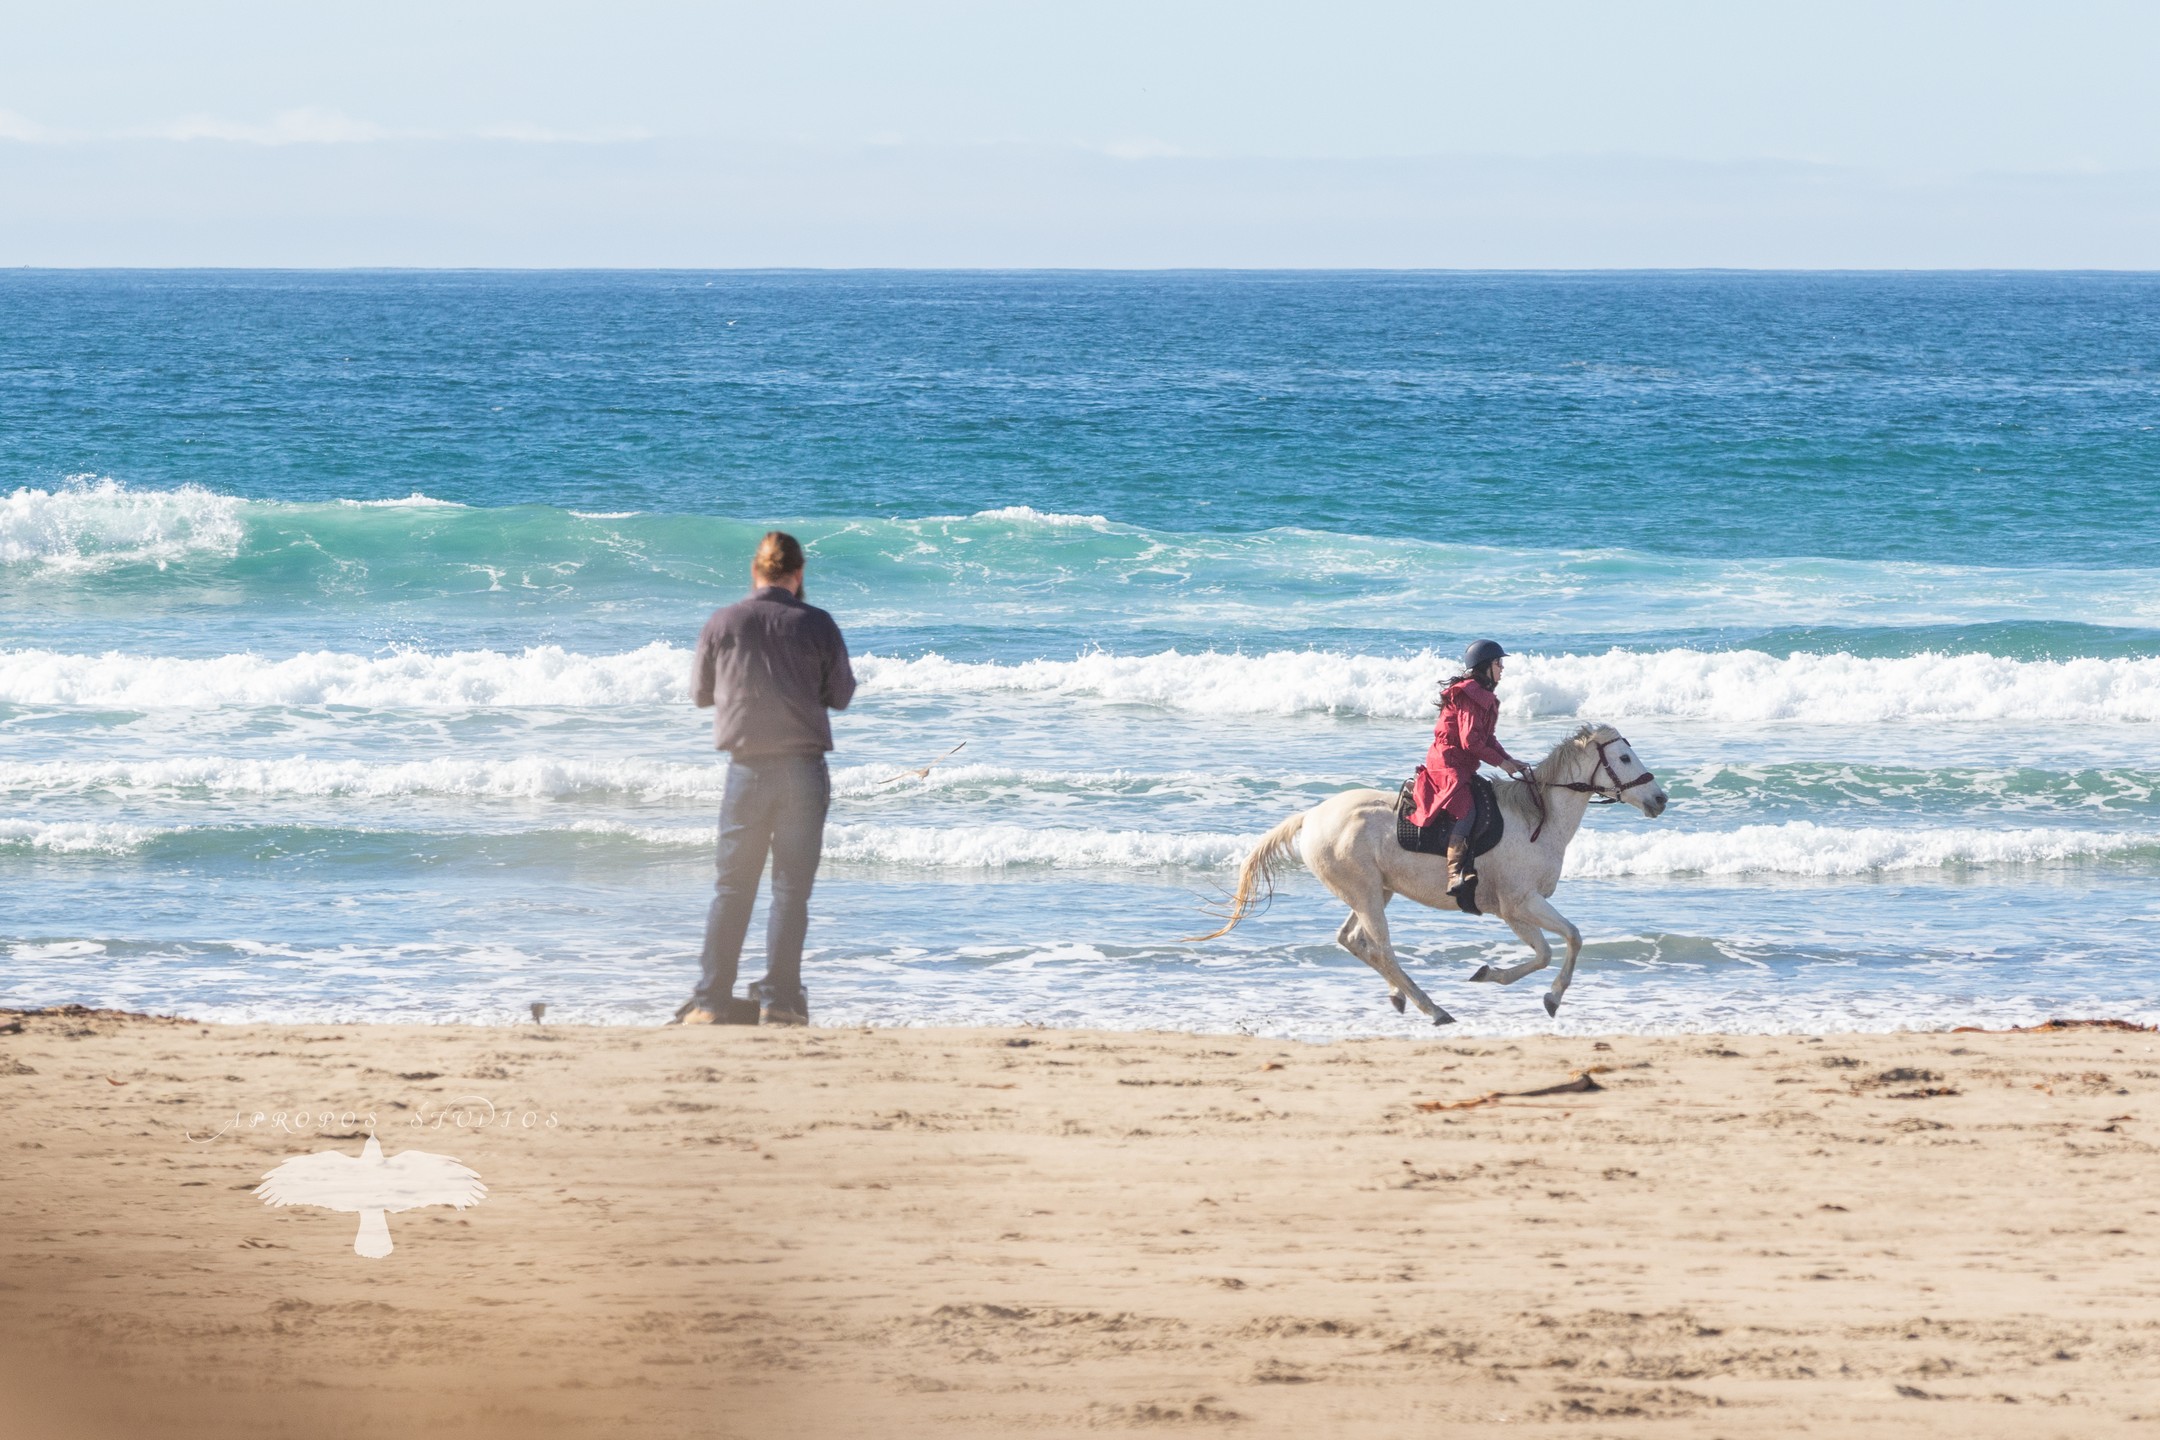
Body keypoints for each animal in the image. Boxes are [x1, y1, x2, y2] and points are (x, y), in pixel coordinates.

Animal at [1191, 723, 1668, 1023]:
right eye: (1624, 756)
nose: (1660, 799)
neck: (1537, 819)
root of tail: (1310, 817)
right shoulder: (1519, 904)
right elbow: (1568, 940)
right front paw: (1549, 997)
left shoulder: (1515, 911)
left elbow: (1547, 951)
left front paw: (1491, 975)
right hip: (1367, 894)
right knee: (1382, 949)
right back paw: (1433, 1010)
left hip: (1373, 892)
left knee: (1351, 940)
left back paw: (1400, 997)